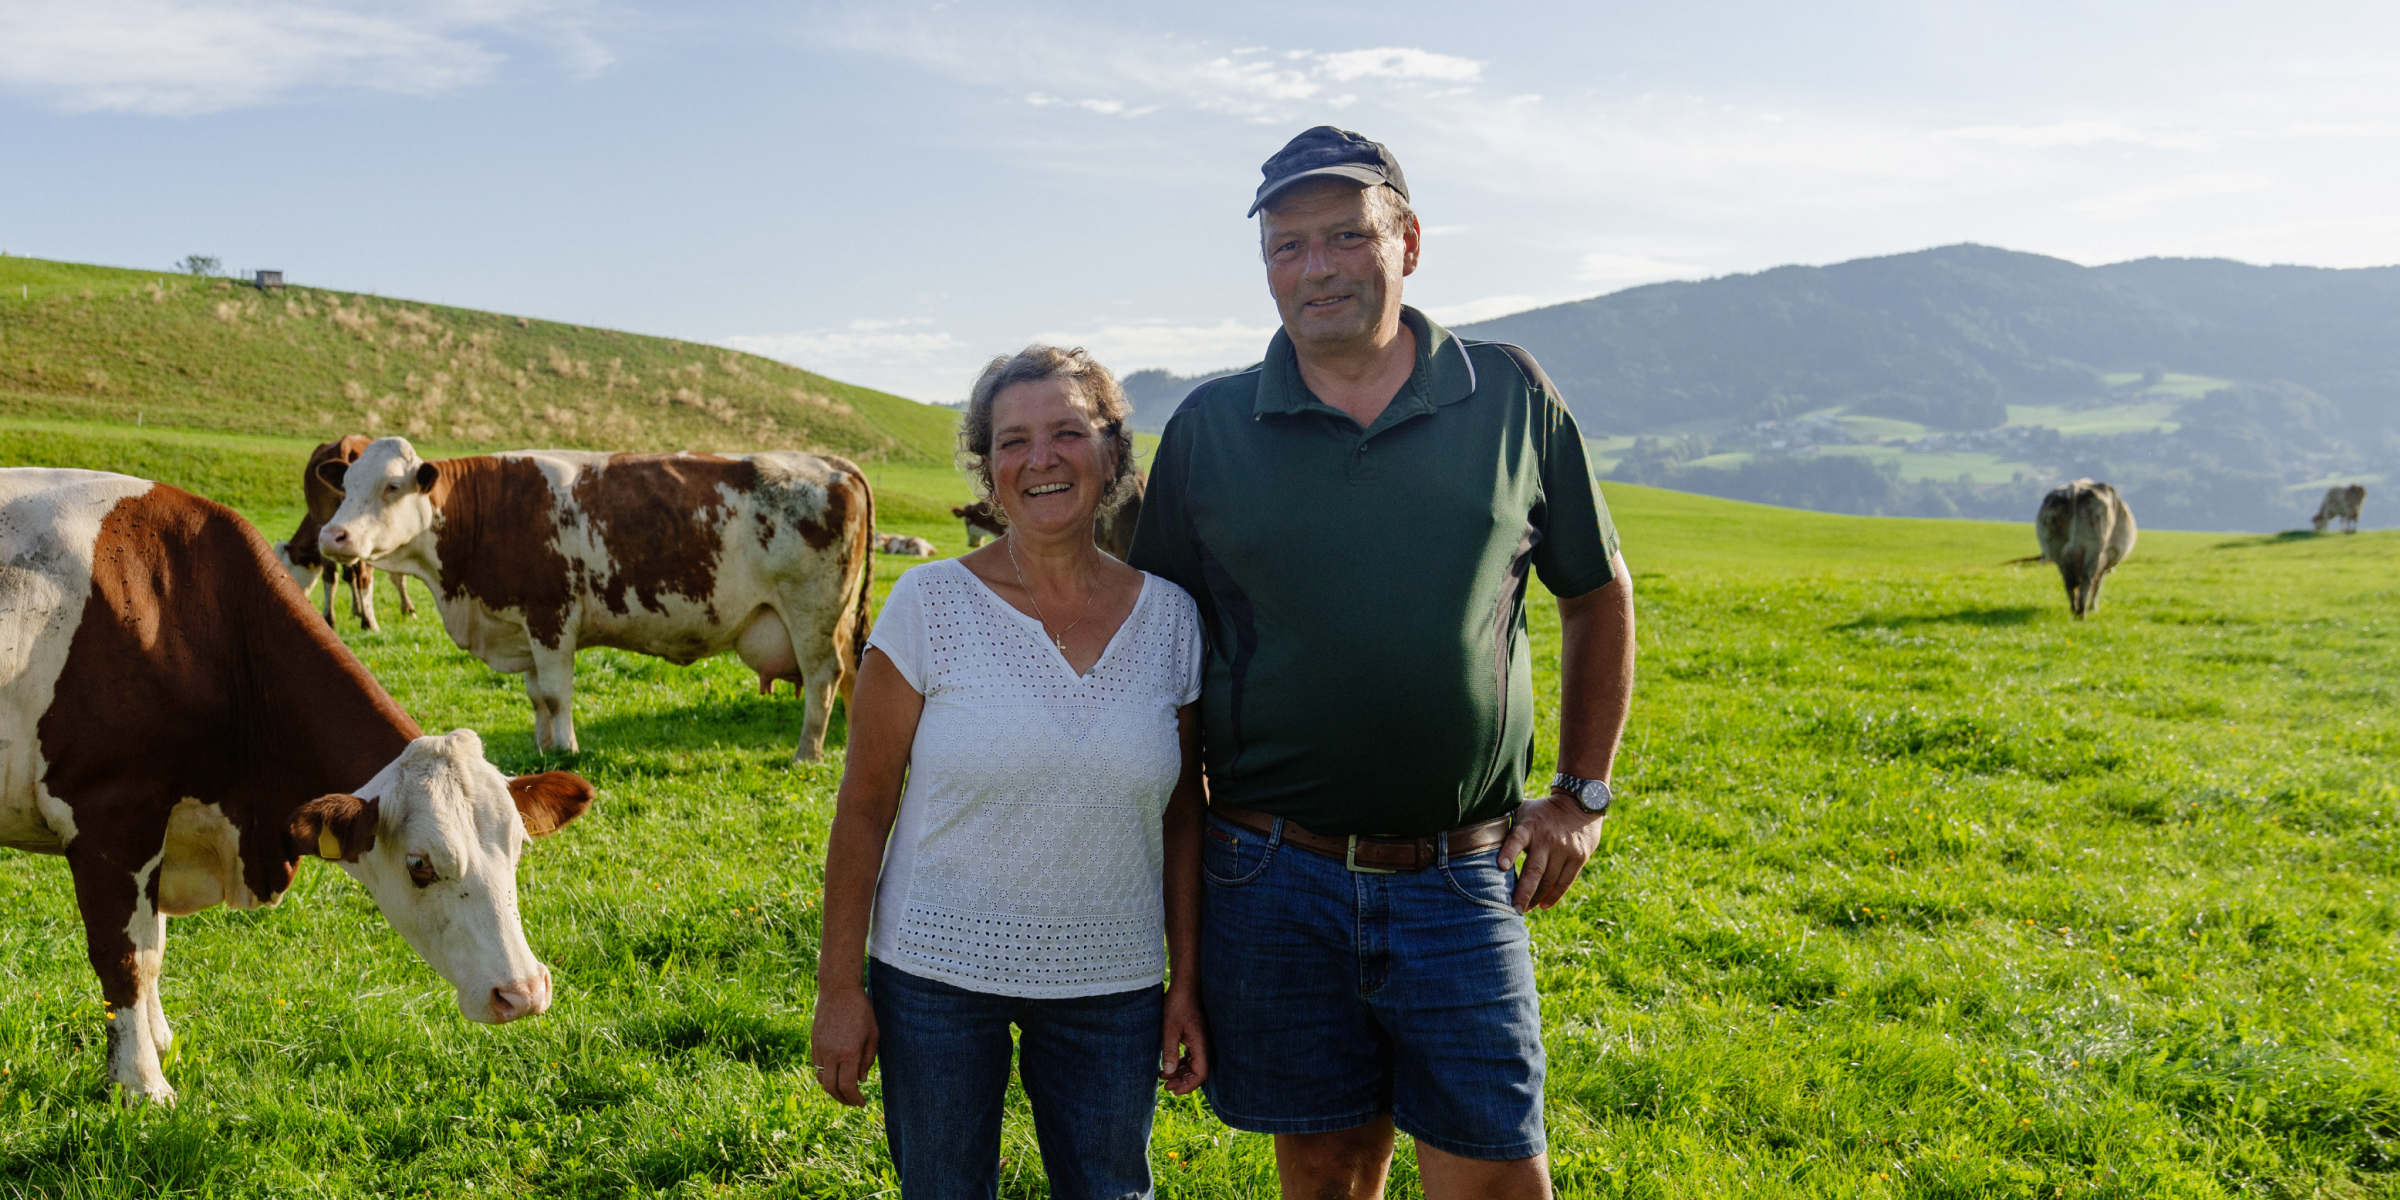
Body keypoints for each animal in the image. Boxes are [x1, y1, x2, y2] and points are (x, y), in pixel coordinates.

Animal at [0, 463, 595, 1099]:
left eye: (517, 848)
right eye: (420, 864)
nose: (523, 993)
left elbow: (153, 948)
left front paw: (157, 1044)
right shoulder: (111, 819)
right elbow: (126, 958)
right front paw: (142, 1084)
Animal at [274, 436, 420, 633]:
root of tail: (345, 443)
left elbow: (348, 575)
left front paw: (356, 610)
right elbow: (396, 575)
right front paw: (408, 609)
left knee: (331, 574)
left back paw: (329, 619)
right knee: (364, 577)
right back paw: (370, 623)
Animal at [319, 439, 878, 758]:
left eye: (392, 486)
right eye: (345, 484)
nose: (333, 535)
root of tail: (827, 461)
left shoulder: (550, 618)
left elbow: (555, 693)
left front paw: (566, 749)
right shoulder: (522, 625)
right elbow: (535, 696)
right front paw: (543, 746)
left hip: (811, 613)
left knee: (823, 678)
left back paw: (808, 752)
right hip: (835, 620)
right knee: (853, 672)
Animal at [2035, 477, 2150, 619]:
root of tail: (2075, 487)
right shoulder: (2106, 561)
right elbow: (2098, 584)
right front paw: (2093, 607)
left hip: (2057, 550)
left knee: (2069, 582)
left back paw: (2074, 610)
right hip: (2093, 550)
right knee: (2086, 580)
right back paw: (2082, 613)